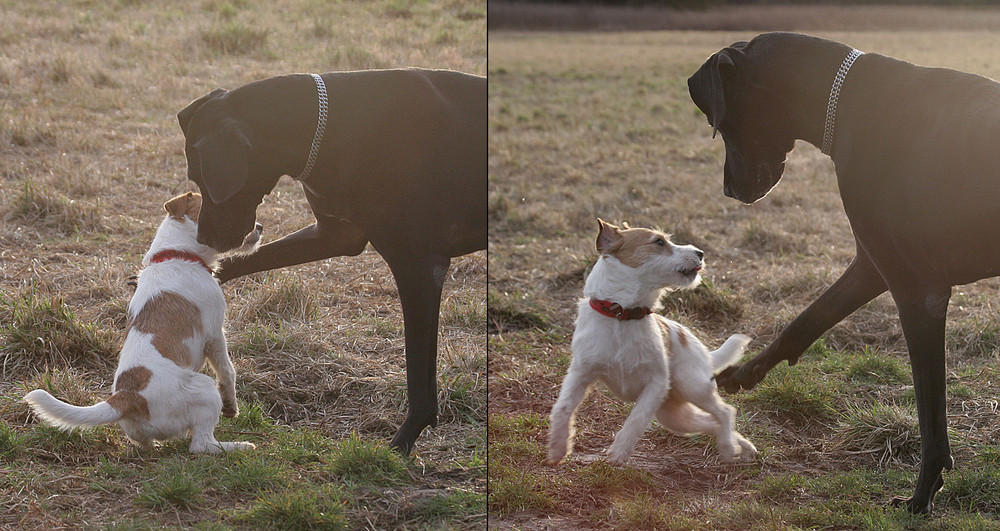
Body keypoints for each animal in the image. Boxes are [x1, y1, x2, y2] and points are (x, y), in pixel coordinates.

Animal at [26, 193, 262, 456]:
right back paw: (238, 446)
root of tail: (127, 397)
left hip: (142, 430)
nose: (260, 227)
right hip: (205, 389)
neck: (175, 254)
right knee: (201, 445)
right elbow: (227, 371)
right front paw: (232, 406)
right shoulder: (215, 334)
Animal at [178, 68, 486, 456]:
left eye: (204, 178)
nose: (206, 239)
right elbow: (253, 258)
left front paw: (403, 441)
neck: (326, 128)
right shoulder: (336, 234)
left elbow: (418, 373)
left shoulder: (418, 267)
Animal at [548, 219, 756, 466]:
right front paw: (558, 447)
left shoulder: (656, 384)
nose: (700, 253)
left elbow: (637, 418)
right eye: (659, 242)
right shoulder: (581, 374)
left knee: (724, 412)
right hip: (674, 416)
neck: (622, 315)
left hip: (693, 386)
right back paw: (740, 446)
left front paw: (619, 452)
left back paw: (728, 448)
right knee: (712, 420)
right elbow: (562, 407)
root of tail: (705, 352)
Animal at [688, 31, 1000, 512]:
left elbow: (930, 409)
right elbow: (807, 319)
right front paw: (743, 373)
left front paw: (923, 492)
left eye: (723, 124)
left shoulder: (917, 291)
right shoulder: (871, 265)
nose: (728, 189)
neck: (846, 100)